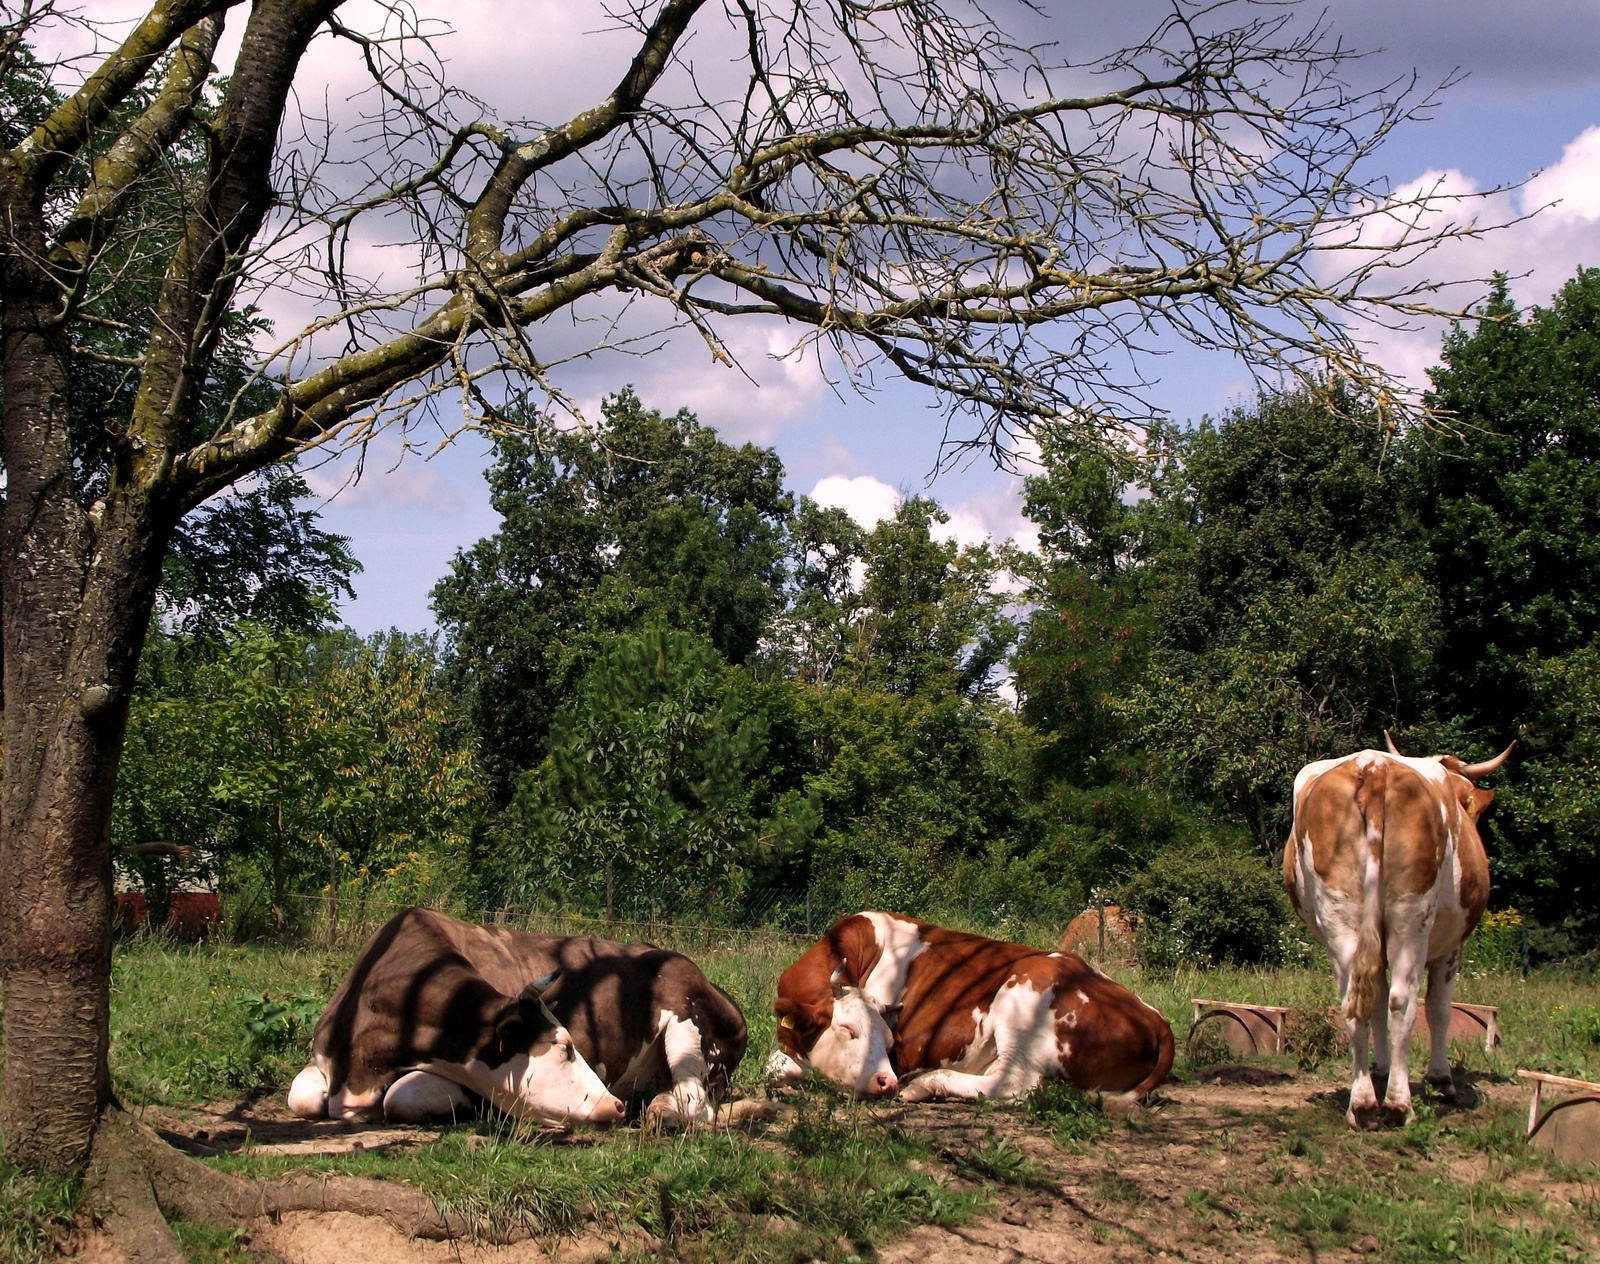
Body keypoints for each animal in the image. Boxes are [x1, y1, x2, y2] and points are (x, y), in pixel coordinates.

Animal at [289, 908, 748, 1126]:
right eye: (564, 1047)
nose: (612, 1105)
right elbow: (301, 1096)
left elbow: (398, 1097)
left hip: (687, 1021)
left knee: (695, 1104)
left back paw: (661, 1108)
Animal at [768, 908, 1171, 1107]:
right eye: (848, 1029)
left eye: (890, 1042)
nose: (888, 1081)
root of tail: (1155, 1016)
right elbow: (772, 1064)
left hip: (1022, 998)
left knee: (1015, 1085)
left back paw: (925, 1085)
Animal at [1286, 732, 1510, 1126]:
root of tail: (1374, 765)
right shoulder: (1451, 948)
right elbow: (1438, 1008)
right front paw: (1441, 1079)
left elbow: (1373, 1005)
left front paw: (1381, 1068)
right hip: (1411, 919)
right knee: (1403, 1003)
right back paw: (1397, 1103)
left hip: (1340, 919)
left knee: (1355, 1005)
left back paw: (1362, 1102)